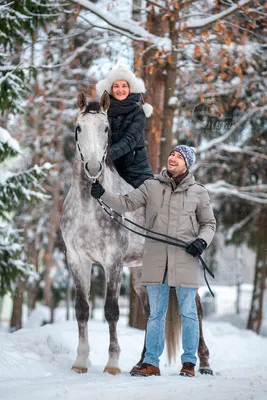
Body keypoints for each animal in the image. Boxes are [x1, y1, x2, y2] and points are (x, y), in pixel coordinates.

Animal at [60, 90, 214, 376]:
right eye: (78, 128)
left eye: (106, 129)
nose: (94, 168)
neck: (91, 203)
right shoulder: (77, 259)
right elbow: (82, 309)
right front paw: (80, 362)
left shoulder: (112, 261)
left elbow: (110, 310)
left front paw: (112, 363)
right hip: (143, 273)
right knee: (151, 310)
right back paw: (143, 363)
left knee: (196, 309)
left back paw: (205, 364)